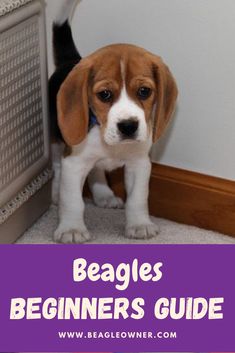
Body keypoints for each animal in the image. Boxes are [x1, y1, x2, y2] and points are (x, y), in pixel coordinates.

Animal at [50, 0, 178, 242]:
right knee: (57, 166)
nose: (128, 125)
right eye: (105, 94)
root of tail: (73, 60)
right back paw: (56, 192)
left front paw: (139, 224)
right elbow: (73, 201)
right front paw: (72, 229)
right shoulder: (74, 162)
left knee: (97, 171)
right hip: (56, 140)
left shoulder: (139, 163)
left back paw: (104, 195)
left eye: (144, 91)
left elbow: (137, 198)